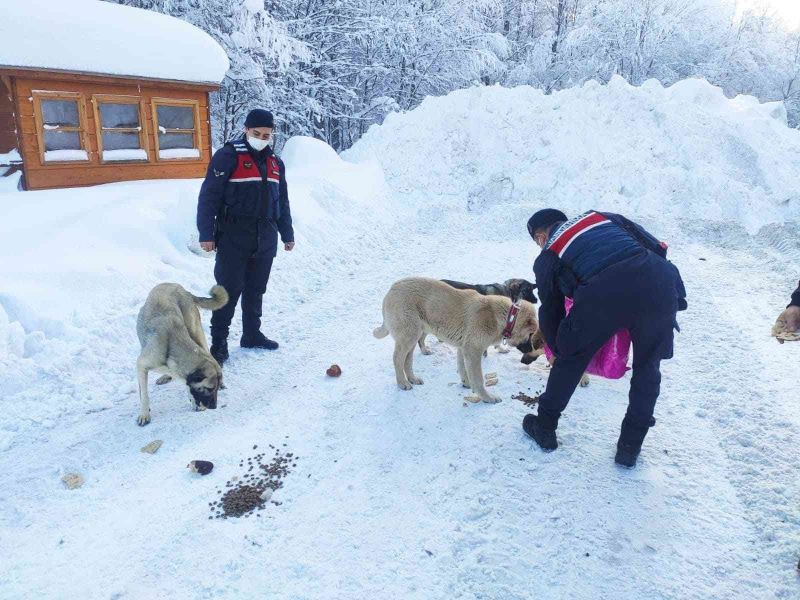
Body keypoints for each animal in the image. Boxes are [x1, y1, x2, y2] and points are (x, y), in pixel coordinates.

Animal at [135, 284, 228, 424]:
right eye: (209, 389)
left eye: (215, 389)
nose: (214, 407)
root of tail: (184, 290)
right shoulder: (141, 366)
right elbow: (144, 394)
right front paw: (145, 414)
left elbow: (188, 387)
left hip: (196, 333)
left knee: (210, 355)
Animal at [374, 278, 536, 404]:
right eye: (531, 334)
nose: (530, 350)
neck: (508, 317)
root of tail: (391, 289)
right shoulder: (473, 351)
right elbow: (478, 379)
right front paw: (487, 398)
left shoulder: (463, 348)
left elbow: (463, 368)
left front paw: (466, 383)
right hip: (409, 336)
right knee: (397, 359)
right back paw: (402, 383)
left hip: (413, 336)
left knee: (407, 360)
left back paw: (412, 379)